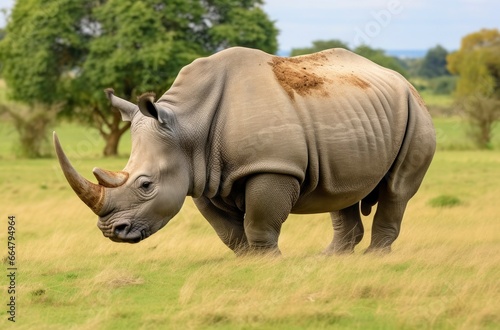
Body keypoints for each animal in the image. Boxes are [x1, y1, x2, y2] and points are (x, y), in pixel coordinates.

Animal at [53, 46, 434, 254]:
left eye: (146, 185)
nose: (110, 232)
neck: (187, 125)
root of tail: (401, 78)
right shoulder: (201, 174)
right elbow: (229, 233)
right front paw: (249, 263)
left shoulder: (273, 165)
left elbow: (258, 222)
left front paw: (269, 264)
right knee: (341, 191)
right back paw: (329, 259)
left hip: (415, 113)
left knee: (396, 190)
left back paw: (373, 258)